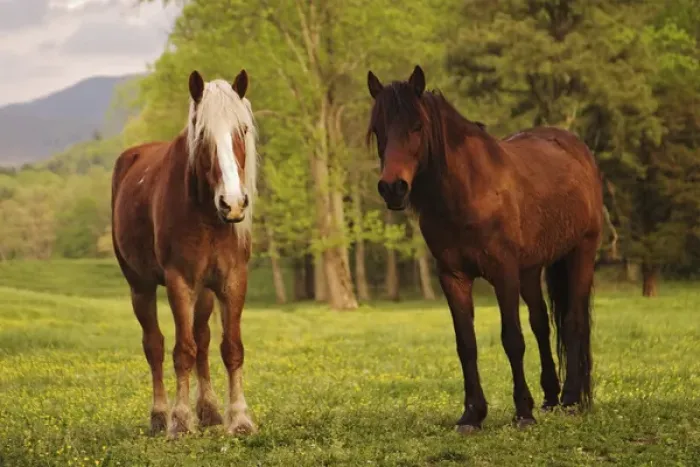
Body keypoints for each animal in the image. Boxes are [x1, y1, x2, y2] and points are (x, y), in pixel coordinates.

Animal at [111, 69, 258, 438]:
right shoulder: (179, 282)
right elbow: (182, 351)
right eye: (203, 134)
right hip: (141, 287)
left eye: (243, 129)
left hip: (204, 294)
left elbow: (230, 348)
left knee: (203, 339)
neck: (207, 215)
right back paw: (160, 415)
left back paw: (209, 410)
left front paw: (239, 418)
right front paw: (179, 420)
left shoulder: (233, 280)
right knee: (155, 345)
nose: (233, 204)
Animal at [366, 65, 602, 433]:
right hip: (531, 270)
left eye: (417, 126)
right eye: (378, 130)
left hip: (581, 253)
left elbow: (512, 339)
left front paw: (523, 412)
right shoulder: (454, 277)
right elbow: (467, 344)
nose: (393, 187)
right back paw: (551, 396)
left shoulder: (503, 273)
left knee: (573, 321)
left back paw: (571, 399)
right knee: (541, 324)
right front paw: (472, 414)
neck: (468, 192)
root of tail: (576, 149)